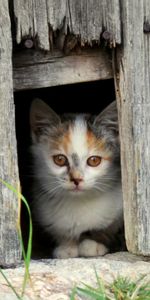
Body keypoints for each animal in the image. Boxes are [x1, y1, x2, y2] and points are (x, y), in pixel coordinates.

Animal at [29, 99, 123, 258]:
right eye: (60, 159)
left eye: (94, 160)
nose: (76, 179)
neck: (79, 201)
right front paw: (67, 246)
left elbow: (113, 231)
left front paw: (92, 243)